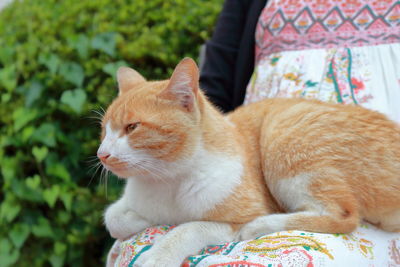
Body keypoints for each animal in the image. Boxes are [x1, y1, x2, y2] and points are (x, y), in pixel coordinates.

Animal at [99, 57, 400, 266]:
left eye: (132, 127)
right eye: (104, 130)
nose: (103, 154)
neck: (166, 179)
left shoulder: (235, 217)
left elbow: (185, 229)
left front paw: (159, 252)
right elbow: (113, 218)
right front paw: (142, 220)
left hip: (282, 134)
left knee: (344, 217)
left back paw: (261, 226)